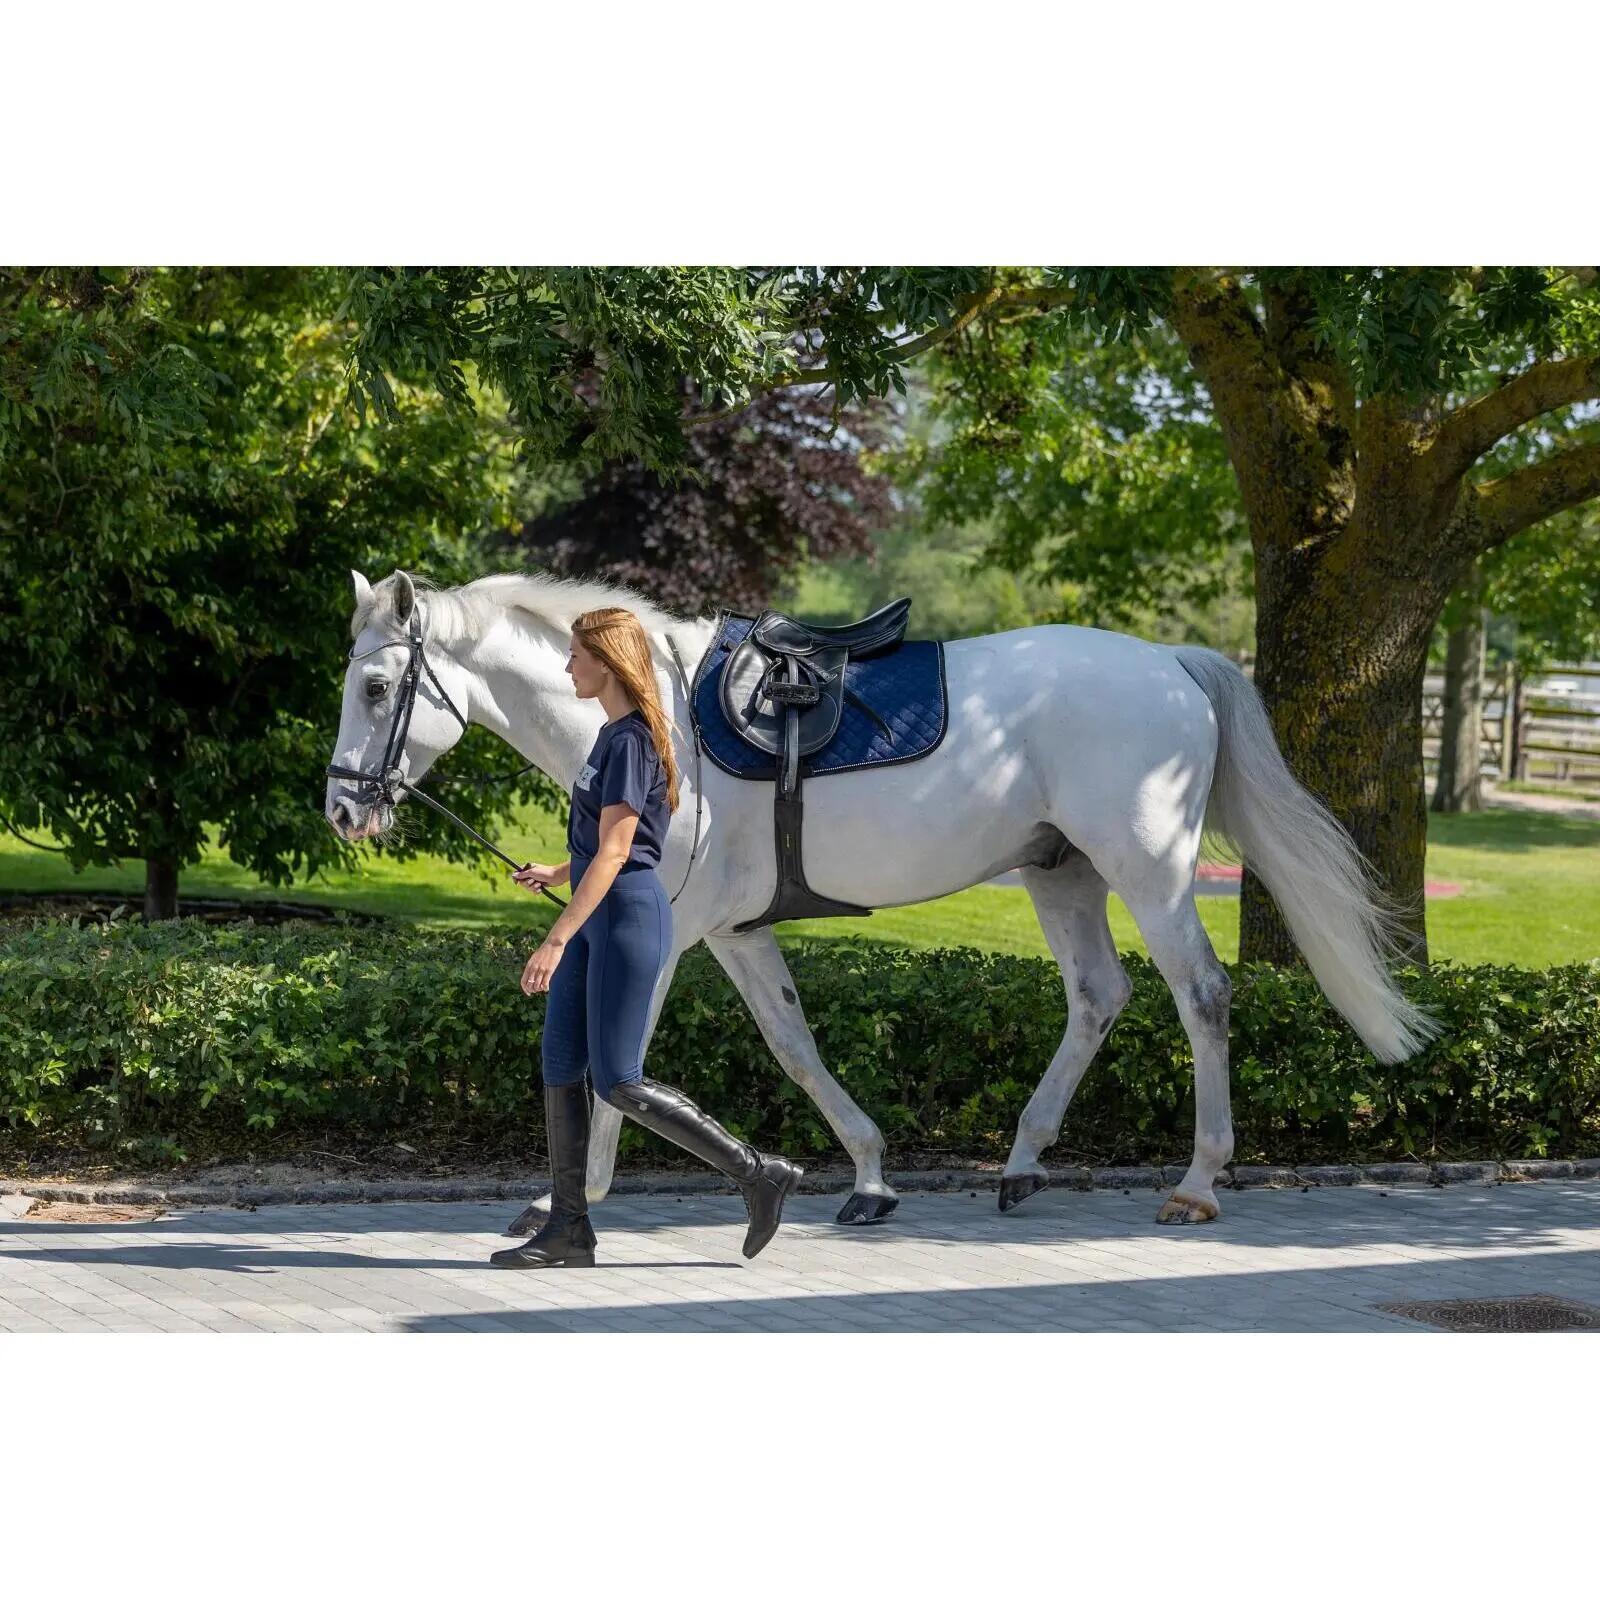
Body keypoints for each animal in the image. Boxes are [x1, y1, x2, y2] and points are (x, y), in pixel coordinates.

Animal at [324, 567, 1435, 1229]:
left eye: (377, 689)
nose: (342, 809)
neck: (657, 719)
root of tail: (1172, 664)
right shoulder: (732, 935)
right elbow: (794, 1047)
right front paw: (866, 1177)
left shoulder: (672, 936)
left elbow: (616, 1063)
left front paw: (574, 1204)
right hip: (1062, 873)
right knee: (1098, 997)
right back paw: (1022, 1162)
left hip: (1149, 871)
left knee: (1200, 995)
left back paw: (1197, 1182)